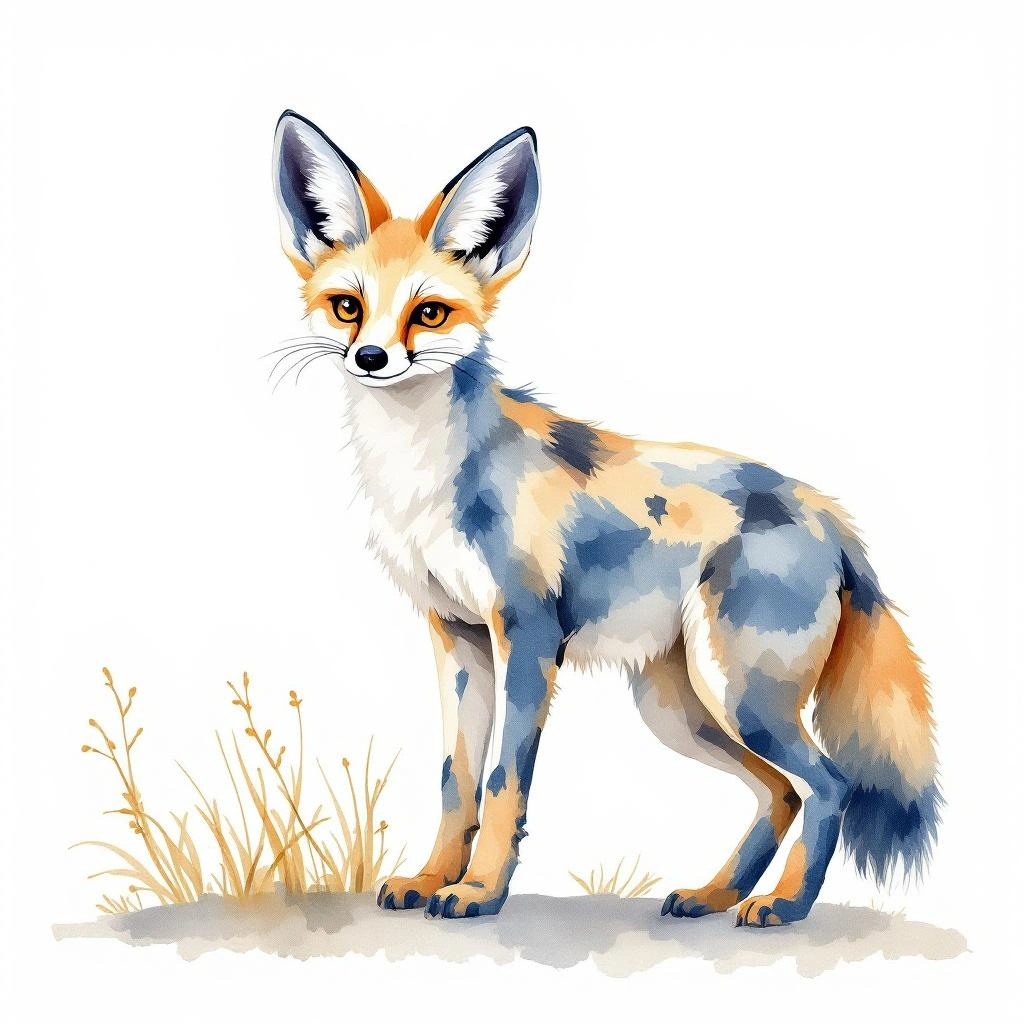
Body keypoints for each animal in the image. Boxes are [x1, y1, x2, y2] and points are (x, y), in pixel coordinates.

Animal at [271, 111, 942, 927]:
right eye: (349, 306)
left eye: (428, 313)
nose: (371, 358)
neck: (423, 479)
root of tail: (833, 518)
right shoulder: (457, 636)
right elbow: (456, 782)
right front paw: (431, 879)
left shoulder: (528, 633)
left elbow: (502, 785)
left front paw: (479, 893)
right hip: (679, 708)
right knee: (781, 791)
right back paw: (716, 895)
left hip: (739, 696)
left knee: (831, 782)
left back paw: (782, 906)